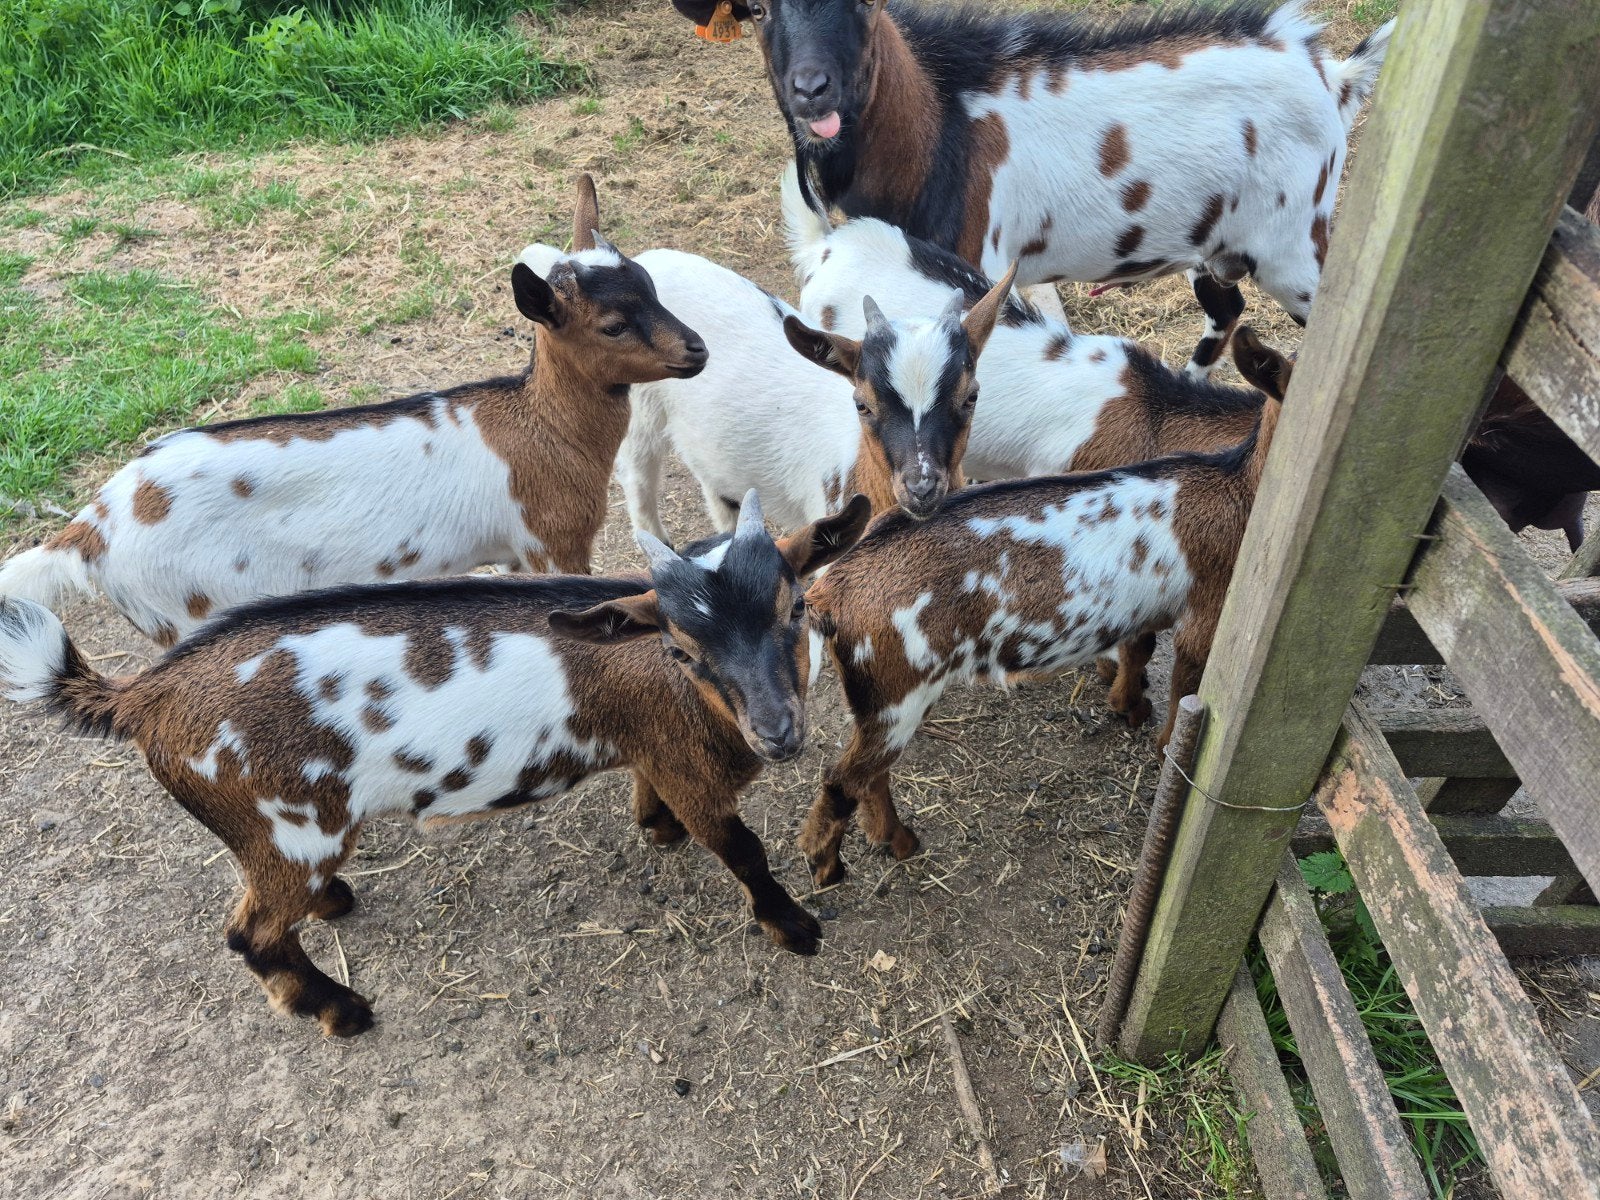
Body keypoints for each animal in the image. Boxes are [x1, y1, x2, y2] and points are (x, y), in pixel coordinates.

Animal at [0, 176, 707, 647]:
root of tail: (92, 527)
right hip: (184, 610)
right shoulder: (551, 543)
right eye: (613, 325)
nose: (696, 350)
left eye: (651, 284)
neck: (542, 430)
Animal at [0, 492, 871, 1036]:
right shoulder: (695, 770)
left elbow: (654, 796)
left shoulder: (653, 745)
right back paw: (342, 1012)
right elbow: (743, 850)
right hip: (289, 828)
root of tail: (145, 696)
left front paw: (656, 831)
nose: (778, 732)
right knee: (250, 934)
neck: (674, 689)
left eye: (796, 607)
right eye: (683, 649)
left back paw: (334, 904)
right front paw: (793, 926)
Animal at [596, 244, 1013, 539]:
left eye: (971, 396)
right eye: (862, 404)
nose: (921, 488)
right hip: (641, 420)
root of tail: (647, 260)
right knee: (638, 486)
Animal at [668, 0, 1392, 377]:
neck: (941, 126)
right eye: (757, 9)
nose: (812, 90)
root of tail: (1336, 75)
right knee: (1225, 306)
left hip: (1296, 248)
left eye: (862, 5)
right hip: (1212, 242)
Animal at [795, 332, 1283, 885]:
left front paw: (1128, 705)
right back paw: (831, 867)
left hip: (885, 695)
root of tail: (827, 592)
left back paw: (893, 841)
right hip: (896, 693)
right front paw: (1158, 742)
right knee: (842, 778)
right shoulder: (1208, 609)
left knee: (868, 773)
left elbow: (1138, 646)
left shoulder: (1146, 605)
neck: (1236, 486)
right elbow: (1185, 686)